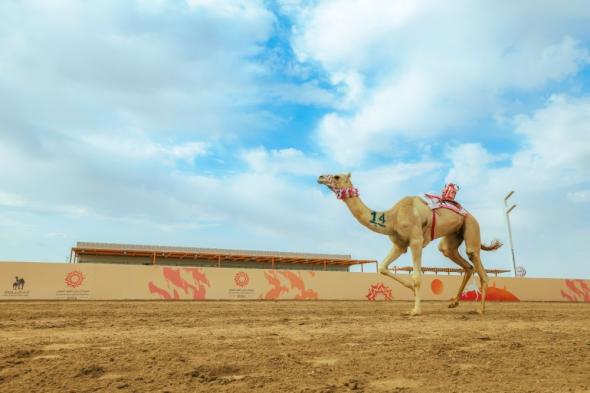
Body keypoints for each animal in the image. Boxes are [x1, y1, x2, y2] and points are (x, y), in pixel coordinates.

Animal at [320, 173, 504, 314]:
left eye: (336, 176)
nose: (320, 177)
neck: (392, 217)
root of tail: (469, 214)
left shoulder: (416, 241)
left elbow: (417, 276)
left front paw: (416, 310)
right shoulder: (400, 245)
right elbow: (383, 267)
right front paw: (409, 289)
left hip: (472, 226)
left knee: (477, 263)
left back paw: (480, 309)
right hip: (453, 236)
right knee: (460, 260)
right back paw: (453, 303)